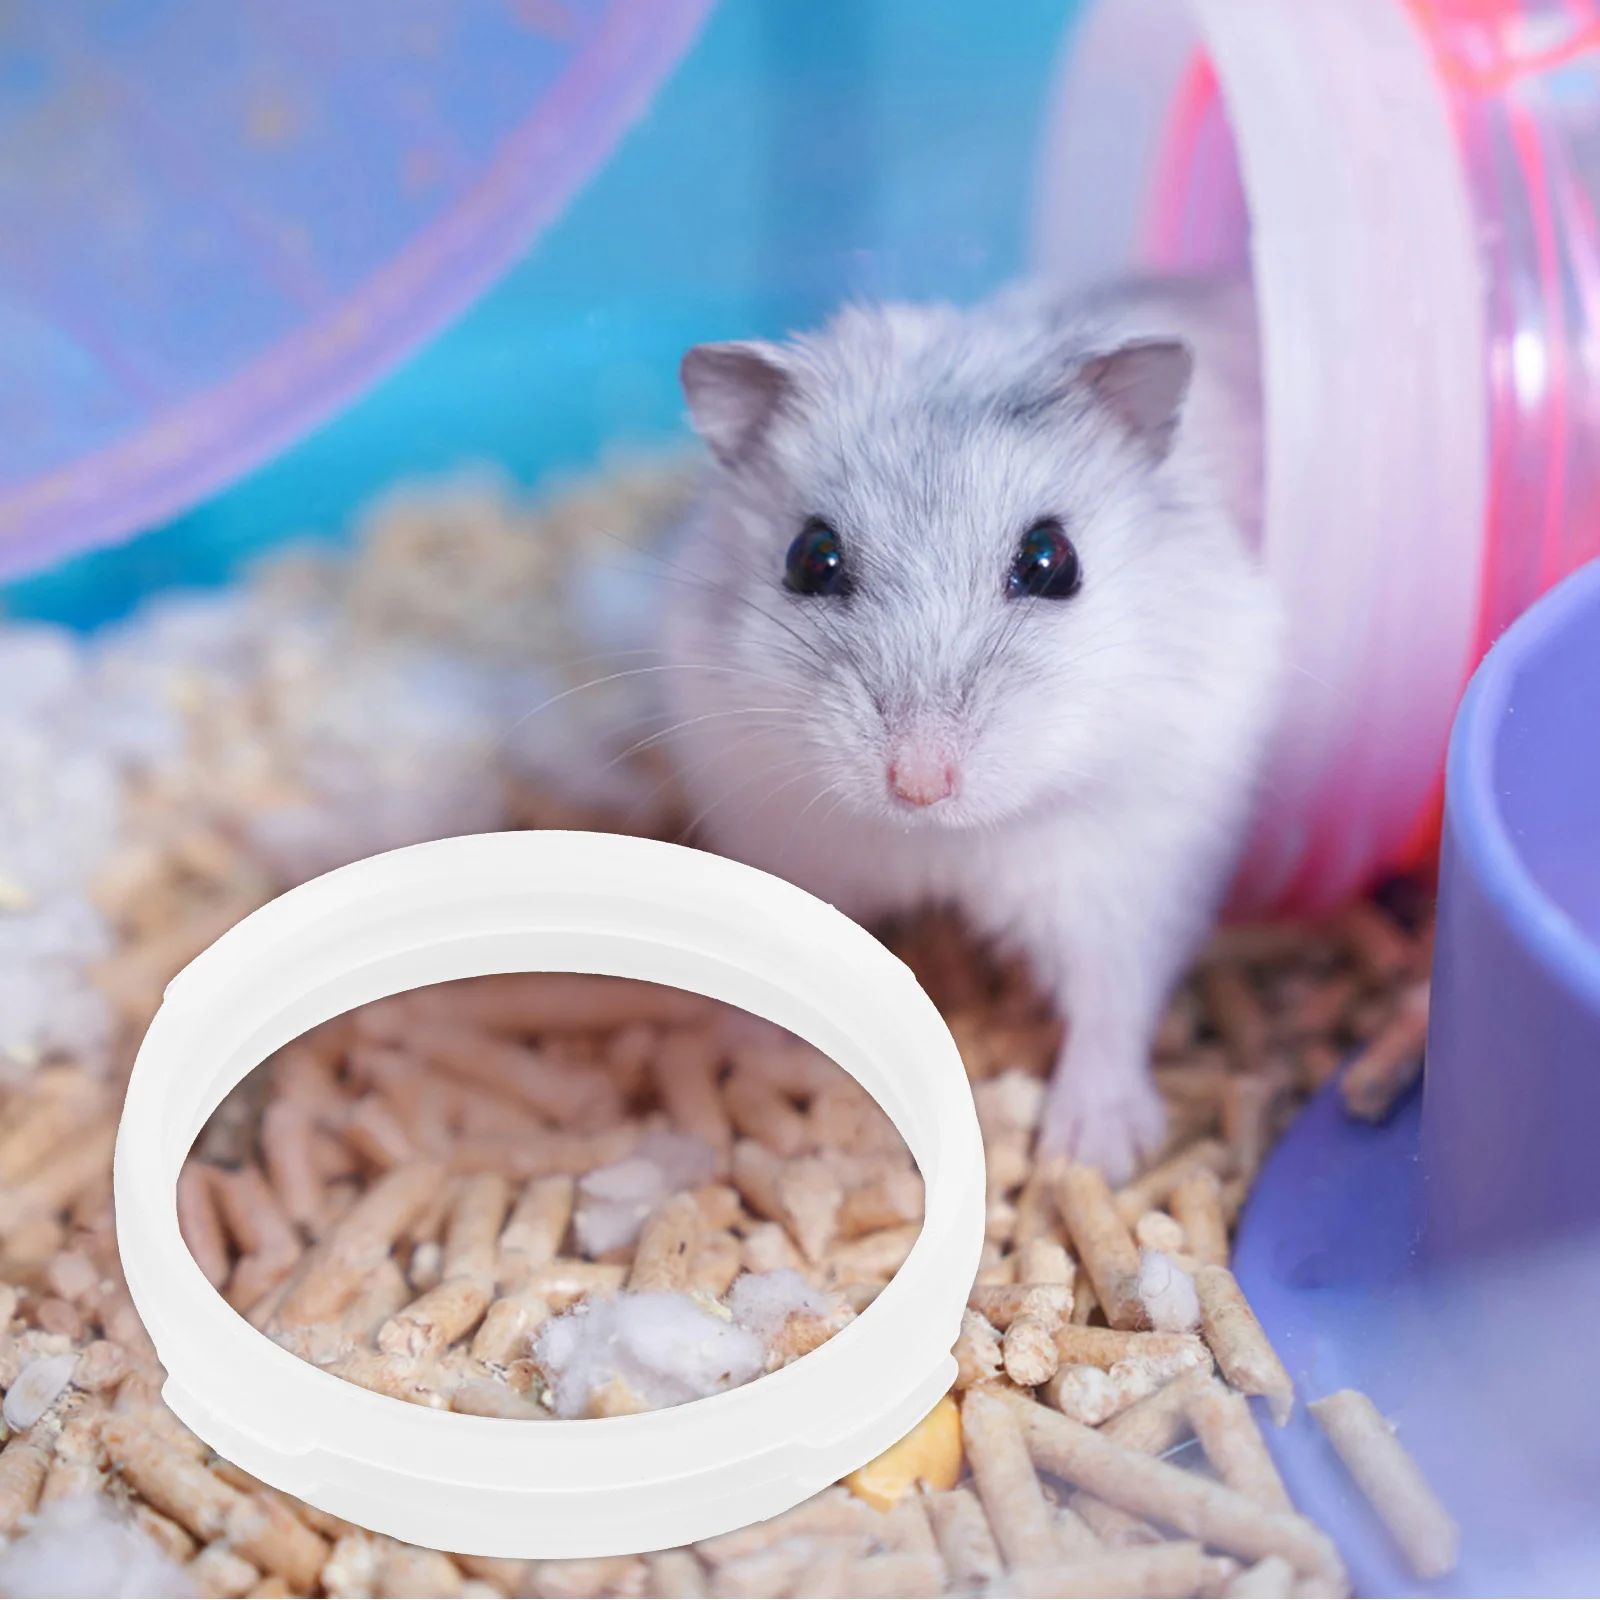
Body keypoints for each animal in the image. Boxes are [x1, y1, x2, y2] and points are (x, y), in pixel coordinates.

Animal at [657, 277, 1284, 1182]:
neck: (939, 842)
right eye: (810, 558)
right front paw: (742, 1046)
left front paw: (1091, 1153)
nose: (919, 784)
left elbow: (1112, 998)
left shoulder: (1127, 873)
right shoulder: (779, 834)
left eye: (1051, 560)